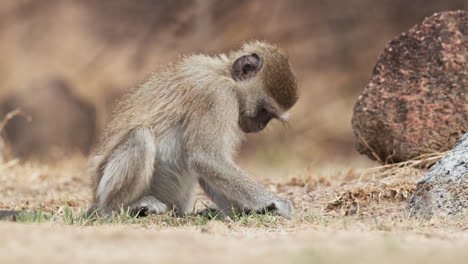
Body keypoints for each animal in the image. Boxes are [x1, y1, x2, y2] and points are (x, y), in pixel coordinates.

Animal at [87, 41, 298, 219]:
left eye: (269, 116)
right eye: (264, 111)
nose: (261, 126)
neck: (224, 75)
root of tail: (96, 201)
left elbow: (209, 166)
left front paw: (245, 210)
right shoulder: (217, 96)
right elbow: (206, 157)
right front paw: (275, 203)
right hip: (105, 190)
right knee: (141, 136)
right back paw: (120, 208)